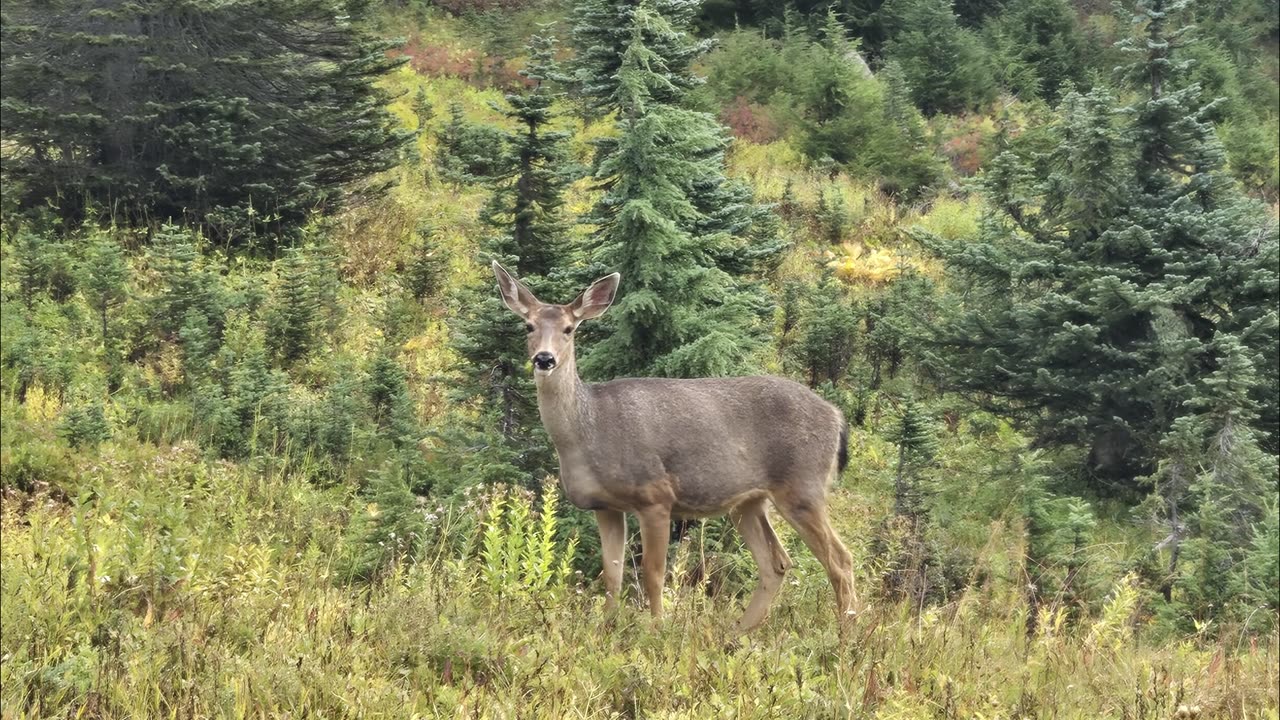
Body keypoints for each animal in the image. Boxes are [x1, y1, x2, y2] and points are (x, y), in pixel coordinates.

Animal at [488, 260, 860, 630]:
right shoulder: (605, 506)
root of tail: (836, 416)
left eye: (568, 329)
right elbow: (612, 575)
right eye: (528, 326)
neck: (587, 431)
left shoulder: (655, 495)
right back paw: (740, 631)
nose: (544, 359)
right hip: (749, 502)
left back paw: (846, 632)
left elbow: (653, 573)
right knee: (777, 562)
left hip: (802, 485)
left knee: (840, 559)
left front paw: (657, 629)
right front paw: (606, 628)